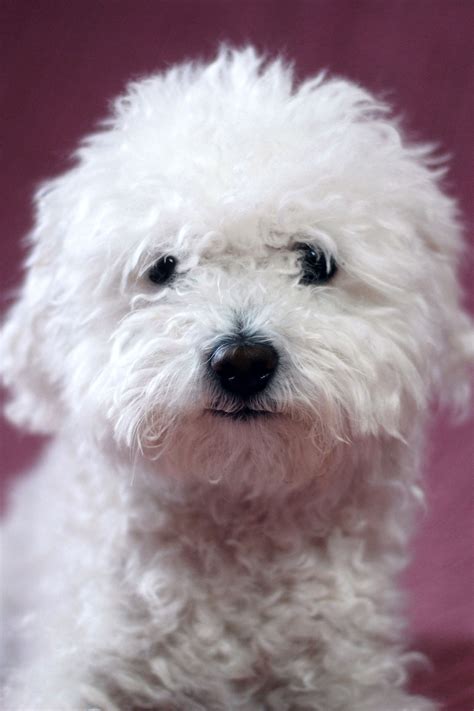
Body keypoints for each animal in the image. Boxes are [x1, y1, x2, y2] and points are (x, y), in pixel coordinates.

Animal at [0, 47, 474, 708]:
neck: (236, 514)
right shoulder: (75, 664)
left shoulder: (348, 675)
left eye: (314, 260)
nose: (242, 362)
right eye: (164, 266)